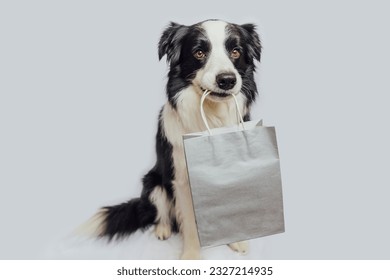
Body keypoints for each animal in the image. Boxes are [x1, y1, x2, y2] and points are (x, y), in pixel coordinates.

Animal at [93, 19, 260, 260]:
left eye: (235, 52)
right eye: (199, 53)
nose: (227, 80)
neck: (212, 117)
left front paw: (237, 240)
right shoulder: (181, 179)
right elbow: (189, 222)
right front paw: (190, 256)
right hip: (154, 184)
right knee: (162, 213)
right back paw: (162, 230)